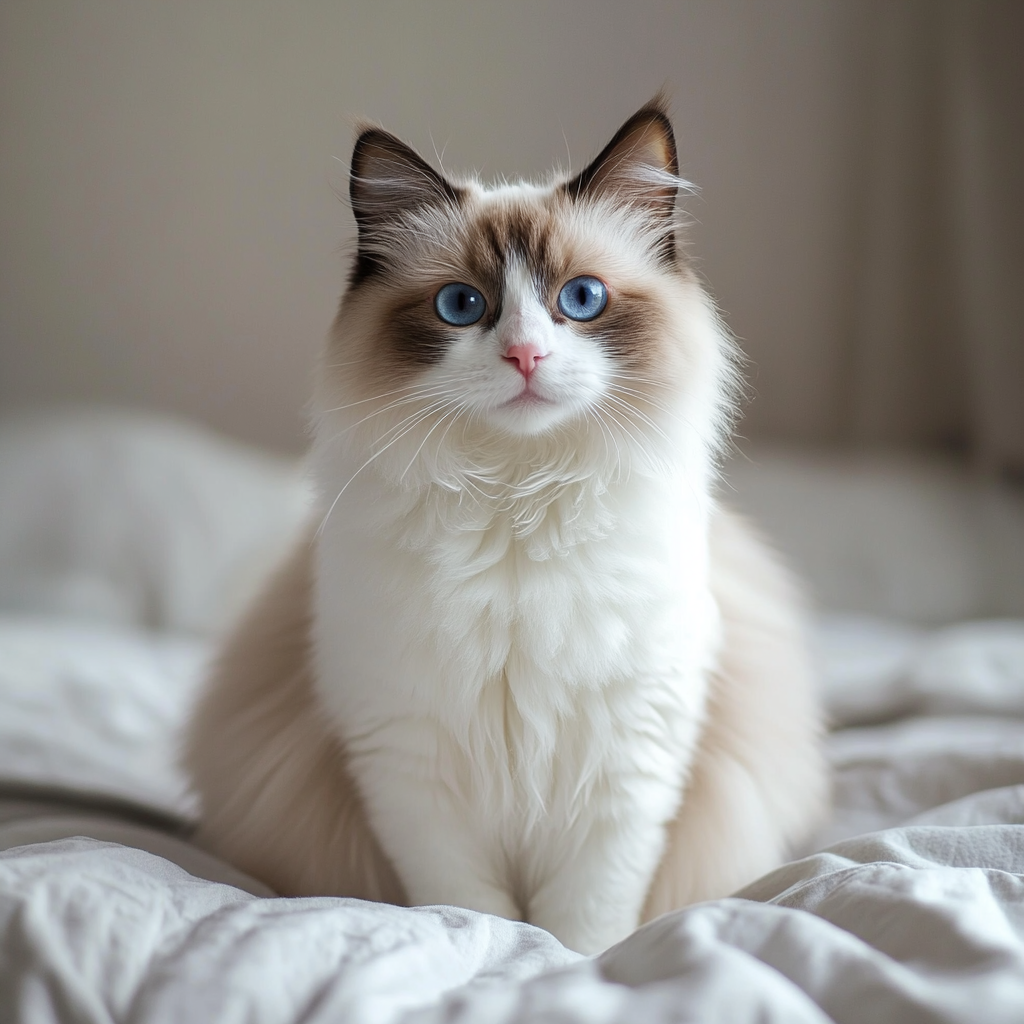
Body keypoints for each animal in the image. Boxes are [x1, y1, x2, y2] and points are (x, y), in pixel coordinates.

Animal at [182, 96, 823, 950]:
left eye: (581, 300)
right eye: (462, 307)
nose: (524, 356)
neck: (518, 504)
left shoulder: (630, 759)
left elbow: (589, 914)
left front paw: (576, 963)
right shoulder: (410, 764)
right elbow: (472, 906)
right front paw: (500, 953)